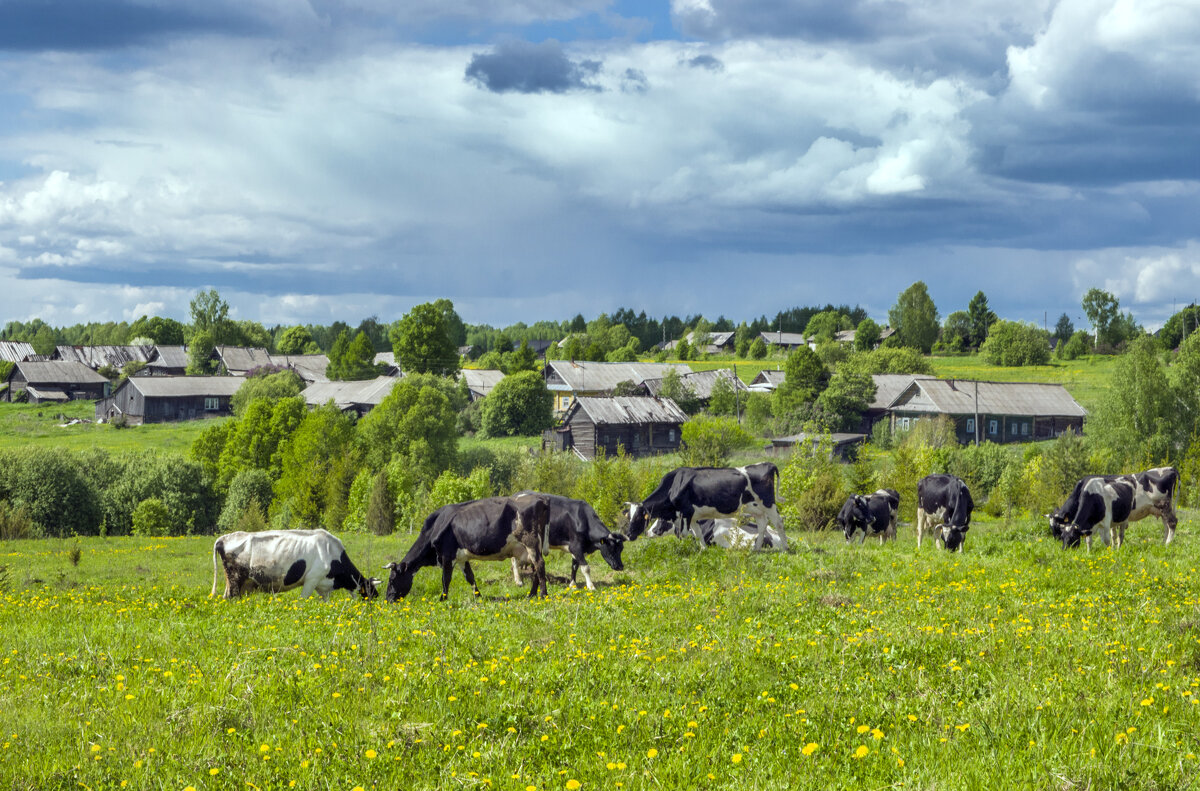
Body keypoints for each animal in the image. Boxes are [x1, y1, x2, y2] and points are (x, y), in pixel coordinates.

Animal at [208, 532, 379, 600]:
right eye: (371, 592)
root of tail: (223, 538)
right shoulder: (311, 579)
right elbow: (303, 601)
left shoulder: (323, 586)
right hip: (235, 582)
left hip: (240, 584)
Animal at [386, 492, 549, 602]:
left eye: (392, 579)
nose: (388, 599)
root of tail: (540, 499)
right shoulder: (461, 558)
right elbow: (470, 577)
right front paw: (478, 596)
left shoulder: (447, 556)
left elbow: (445, 578)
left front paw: (442, 598)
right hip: (533, 547)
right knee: (536, 568)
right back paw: (531, 594)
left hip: (530, 542)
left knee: (540, 565)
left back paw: (543, 595)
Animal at [628, 463, 787, 549]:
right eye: (628, 516)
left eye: (638, 518)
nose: (628, 535)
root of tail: (767, 464)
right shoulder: (692, 517)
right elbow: (698, 534)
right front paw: (702, 550)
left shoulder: (686, 512)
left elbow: (684, 534)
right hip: (756, 509)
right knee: (762, 525)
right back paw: (756, 549)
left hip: (768, 504)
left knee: (778, 522)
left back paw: (786, 548)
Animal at [1051, 463, 1180, 549]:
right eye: (1061, 534)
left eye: (1056, 526)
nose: (1055, 540)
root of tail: (1170, 468)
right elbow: (1113, 534)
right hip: (1161, 509)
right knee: (1166, 526)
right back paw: (1162, 543)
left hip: (1165, 505)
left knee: (1172, 523)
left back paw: (1167, 544)